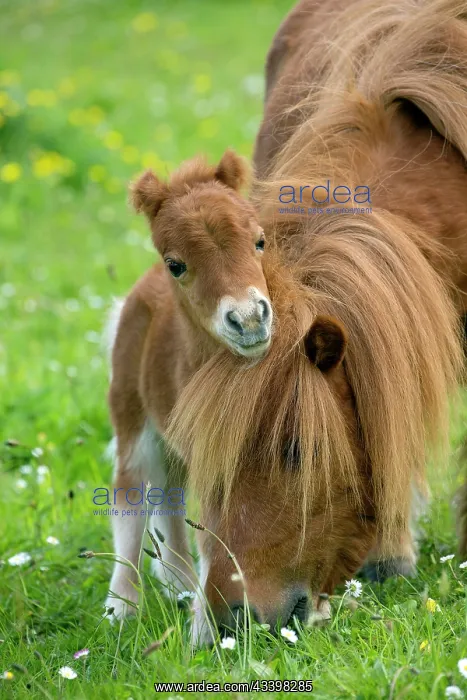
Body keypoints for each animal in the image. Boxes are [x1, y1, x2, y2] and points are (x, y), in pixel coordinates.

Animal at [105, 149, 273, 619]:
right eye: (176, 264)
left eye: (260, 241)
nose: (249, 320)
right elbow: (215, 534)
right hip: (132, 413)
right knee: (131, 492)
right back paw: (122, 607)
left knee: (168, 493)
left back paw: (178, 584)